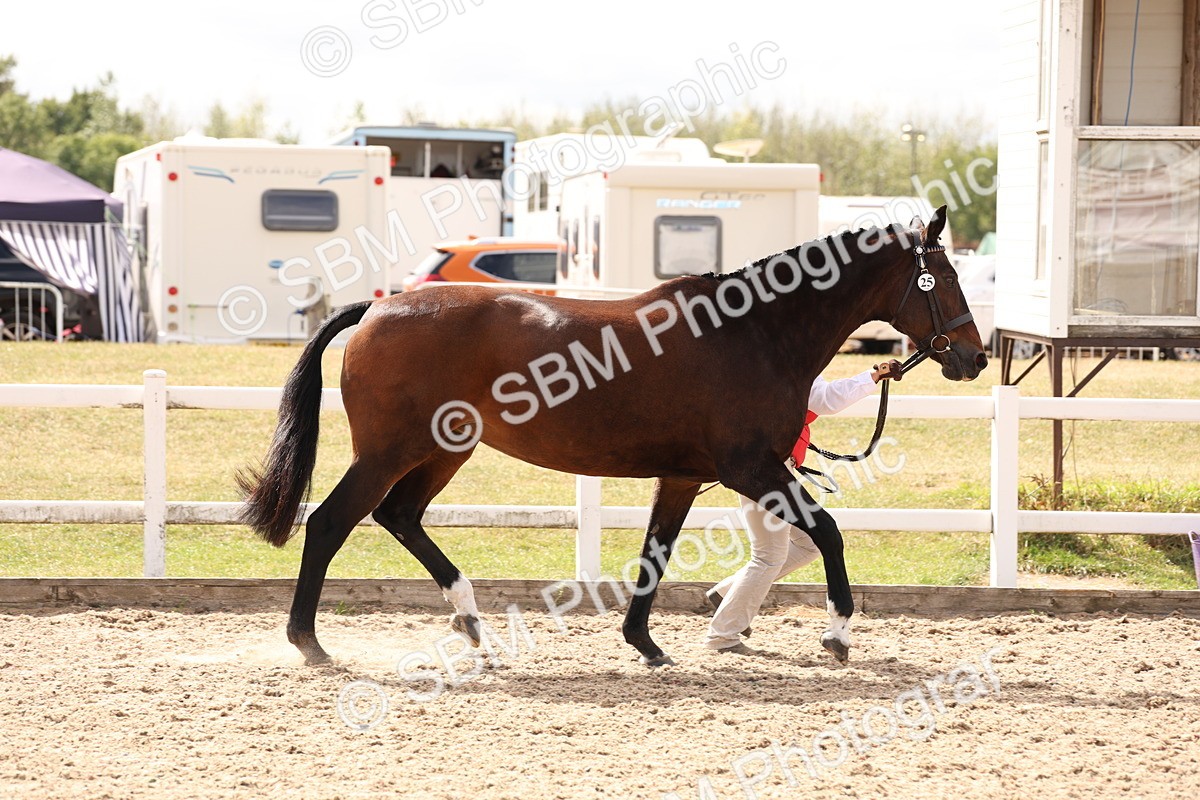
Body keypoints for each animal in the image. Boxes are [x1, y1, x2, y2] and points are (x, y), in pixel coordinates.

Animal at [238, 205, 987, 668]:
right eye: (944, 278)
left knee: (399, 516)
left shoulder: (684, 477)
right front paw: (836, 635)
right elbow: (829, 532)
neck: (753, 334)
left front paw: (645, 643)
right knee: (331, 522)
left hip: (443, 450)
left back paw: (472, 621)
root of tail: (380, 308)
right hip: (391, 452)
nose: (975, 358)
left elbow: (656, 554)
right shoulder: (752, 467)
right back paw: (309, 642)